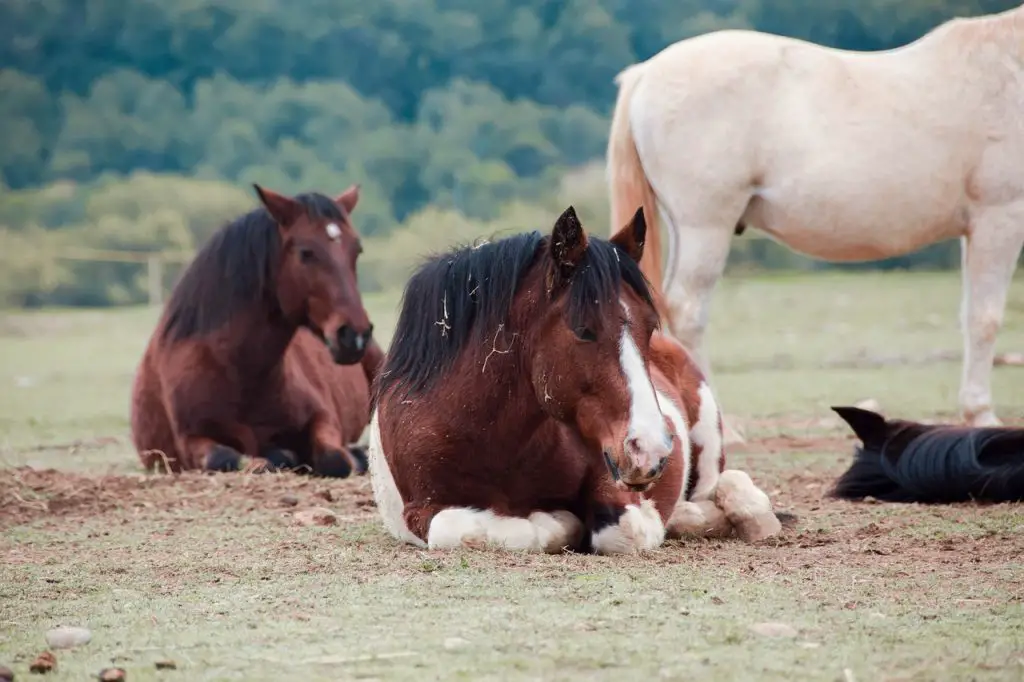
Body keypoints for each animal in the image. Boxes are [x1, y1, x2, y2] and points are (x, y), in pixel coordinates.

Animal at [130, 183, 382, 475]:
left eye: (357, 250)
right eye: (305, 252)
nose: (355, 335)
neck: (238, 371)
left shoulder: (323, 418)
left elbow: (335, 458)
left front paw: (354, 455)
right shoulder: (190, 440)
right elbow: (228, 458)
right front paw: (279, 456)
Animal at [368, 202, 782, 552]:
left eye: (650, 327)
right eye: (583, 329)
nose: (649, 448)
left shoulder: (612, 477)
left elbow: (622, 530)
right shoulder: (421, 510)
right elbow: (464, 528)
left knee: (720, 486)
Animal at [602, 5, 1024, 440]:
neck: (1009, 66)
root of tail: (646, 73)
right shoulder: (1001, 216)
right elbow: (985, 318)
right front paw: (982, 414)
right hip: (706, 227)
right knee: (688, 309)